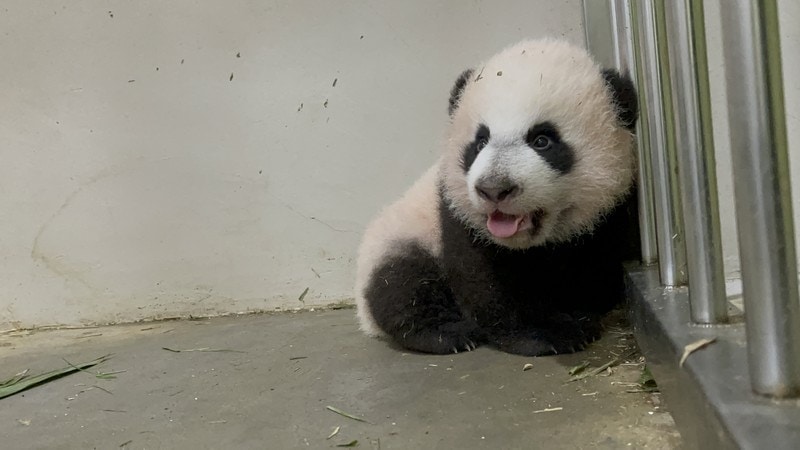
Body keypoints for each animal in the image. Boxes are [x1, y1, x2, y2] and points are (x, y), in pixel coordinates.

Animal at [354, 38, 639, 356]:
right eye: (480, 142)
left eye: (542, 140)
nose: (494, 189)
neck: (528, 245)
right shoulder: (456, 214)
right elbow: (484, 279)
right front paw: (547, 332)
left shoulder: (610, 214)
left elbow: (595, 272)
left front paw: (576, 314)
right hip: (402, 236)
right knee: (401, 284)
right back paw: (448, 333)